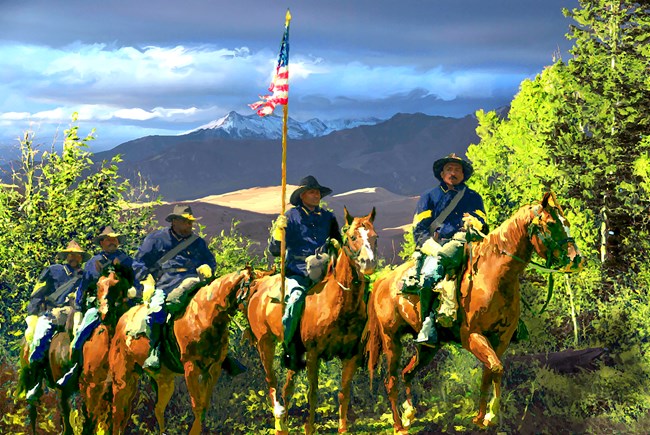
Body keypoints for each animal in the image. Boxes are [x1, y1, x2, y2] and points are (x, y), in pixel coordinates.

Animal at [107, 268, 252, 435]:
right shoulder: (191, 368)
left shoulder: (213, 370)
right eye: (253, 287)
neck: (203, 316)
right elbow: (198, 406)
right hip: (123, 378)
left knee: (155, 409)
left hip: (163, 380)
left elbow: (204, 407)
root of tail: (121, 322)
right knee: (118, 412)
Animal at [246, 208, 378, 435]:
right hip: (265, 343)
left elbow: (344, 391)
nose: (367, 263)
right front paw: (309, 428)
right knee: (272, 381)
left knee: (287, 387)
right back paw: (279, 421)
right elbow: (313, 393)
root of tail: (258, 285)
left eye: (375, 237)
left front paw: (342, 429)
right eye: (353, 237)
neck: (339, 304)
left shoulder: (351, 354)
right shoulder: (314, 354)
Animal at [364, 192, 584, 434]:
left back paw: (409, 415)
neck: (494, 275)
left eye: (567, 222)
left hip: (427, 347)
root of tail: (383, 281)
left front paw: (481, 418)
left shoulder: (501, 339)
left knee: (407, 372)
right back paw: (398, 424)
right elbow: (496, 367)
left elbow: (489, 373)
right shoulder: (472, 336)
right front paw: (491, 414)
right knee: (391, 380)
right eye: (552, 223)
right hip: (391, 339)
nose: (576, 259)